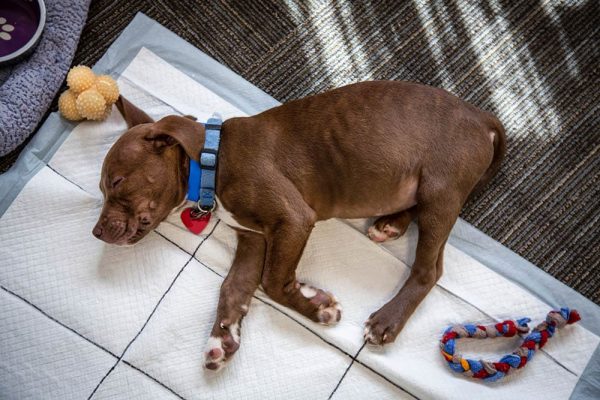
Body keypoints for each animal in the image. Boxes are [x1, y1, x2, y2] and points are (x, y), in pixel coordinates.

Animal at [92, 81, 506, 372]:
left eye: (116, 182)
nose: (96, 232)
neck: (209, 159)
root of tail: (481, 118)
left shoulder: (292, 218)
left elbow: (273, 282)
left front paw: (316, 304)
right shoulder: (254, 238)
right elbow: (235, 288)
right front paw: (222, 339)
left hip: (441, 188)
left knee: (429, 268)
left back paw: (387, 320)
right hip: (421, 186)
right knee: (414, 214)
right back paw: (390, 224)